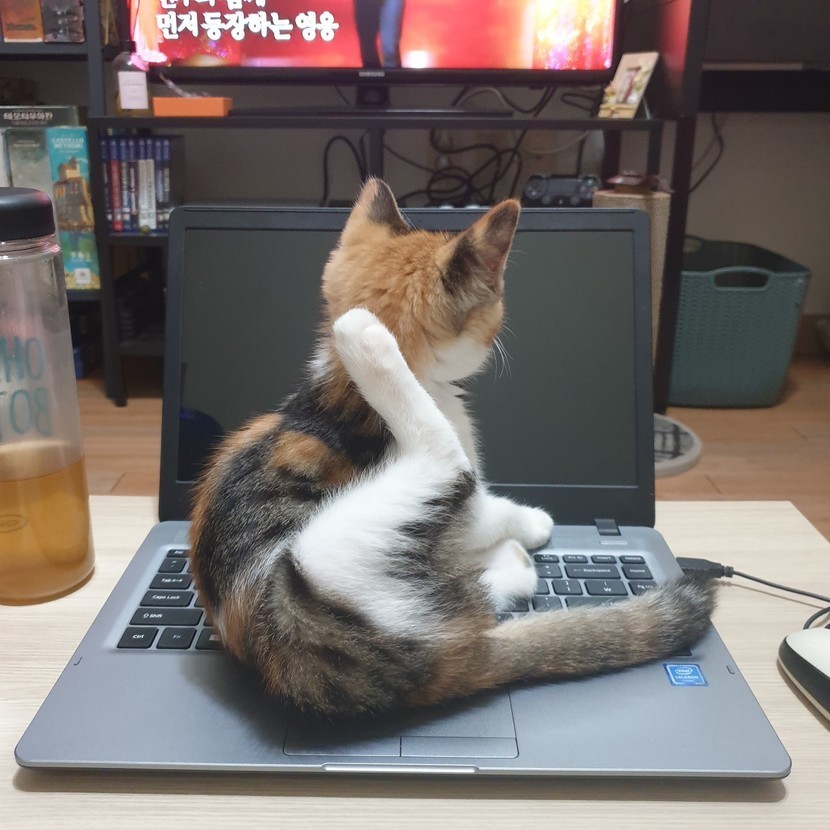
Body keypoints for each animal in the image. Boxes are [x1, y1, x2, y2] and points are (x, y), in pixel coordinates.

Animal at [189, 178, 716, 717]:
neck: (342, 387)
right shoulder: (466, 513)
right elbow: (488, 508)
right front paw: (533, 521)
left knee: (483, 595)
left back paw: (508, 566)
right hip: (331, 550)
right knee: (445, 463)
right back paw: (364, 339)